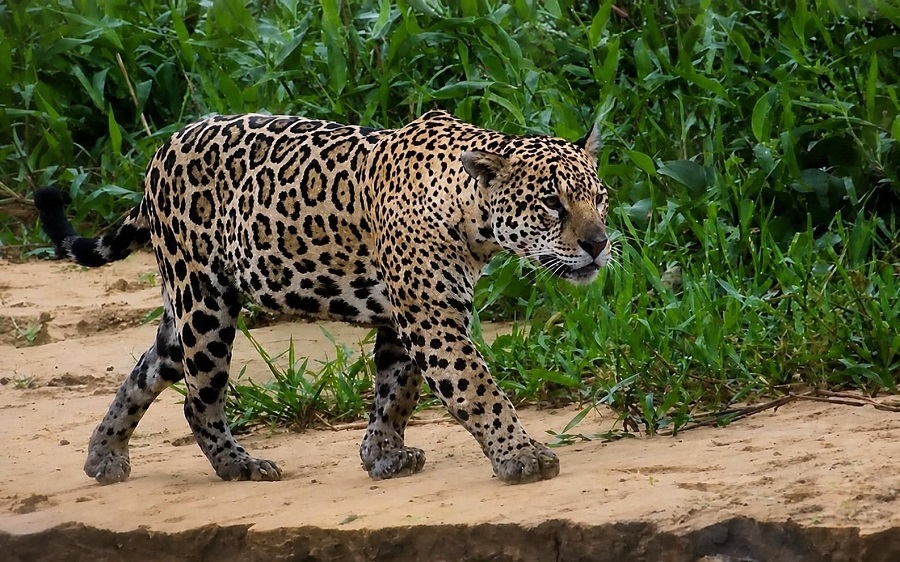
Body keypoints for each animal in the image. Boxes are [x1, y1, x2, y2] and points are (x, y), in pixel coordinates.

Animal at [34, 109, 610, 486]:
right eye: (552, 204)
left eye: (599, 198)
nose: (599, 244)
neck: (470, 215)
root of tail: (162, 150)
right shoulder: (432, 320)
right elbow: (478, 390)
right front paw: (522, 456)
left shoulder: (404, 321)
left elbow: (395, 393)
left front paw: (382, 455)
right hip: (204, 305)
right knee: (198, 401)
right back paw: (240, 467)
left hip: (185, 315)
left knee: (146, 369)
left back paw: (104, 456)